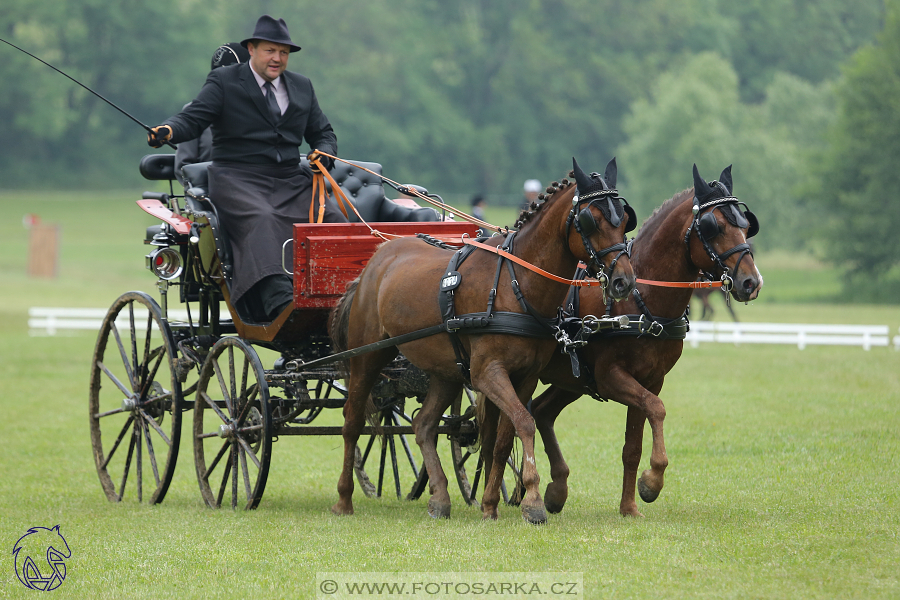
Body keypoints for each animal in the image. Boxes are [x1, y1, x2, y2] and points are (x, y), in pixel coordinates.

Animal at [332, 157, 640, 524]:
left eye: (624, 218)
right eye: (591, 220)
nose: (623, 281)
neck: (516, 284)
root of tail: (375, 260)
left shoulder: (526, 376)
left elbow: (503, 437)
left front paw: (490, 504)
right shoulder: (487, 373)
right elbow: (524, 423)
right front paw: (532, 501)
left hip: (446, 371)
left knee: (424, 425)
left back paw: (440, 498)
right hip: (367, 357)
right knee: (352, 422)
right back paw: (344, 499)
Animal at [482, 163, 764, 516]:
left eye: (745, 225)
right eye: (714, 227)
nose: (751, 282)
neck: (642, 300)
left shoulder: (650, 379)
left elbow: (633, 444)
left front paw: (630, 505)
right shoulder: (611, 377)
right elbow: (657, 409)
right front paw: (652, 482)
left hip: (570, 379)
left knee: (541, 412)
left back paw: (555, 489)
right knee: (499, 430)